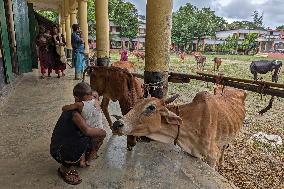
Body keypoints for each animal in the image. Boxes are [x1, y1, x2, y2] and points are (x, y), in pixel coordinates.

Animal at [112, 87, 246, 168]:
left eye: (151, 107)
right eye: (134, 106)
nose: (116, 125)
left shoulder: (212, 156)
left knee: (224, 147)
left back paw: (222, 162)